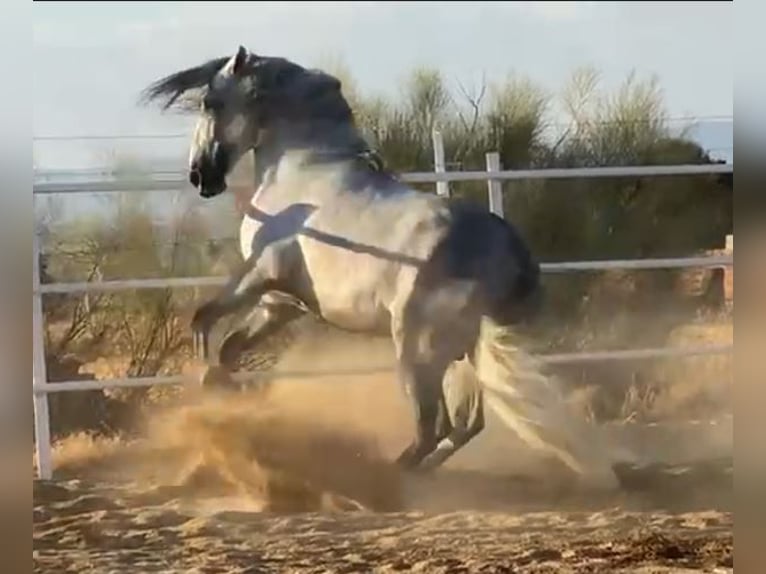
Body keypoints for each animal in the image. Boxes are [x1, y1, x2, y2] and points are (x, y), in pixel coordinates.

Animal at [144, 46, 632, 486]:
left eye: (211, 102)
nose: (200, 177)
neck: (304, 170)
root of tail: (506, 247)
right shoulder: (280, 303)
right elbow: (229, 348)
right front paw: (223, 394)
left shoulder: (259, 275)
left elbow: (203, 320)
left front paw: (205, 387)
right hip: (464, 351)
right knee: (465, 426)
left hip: (417, 349)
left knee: (432, 426)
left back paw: (381, 476)